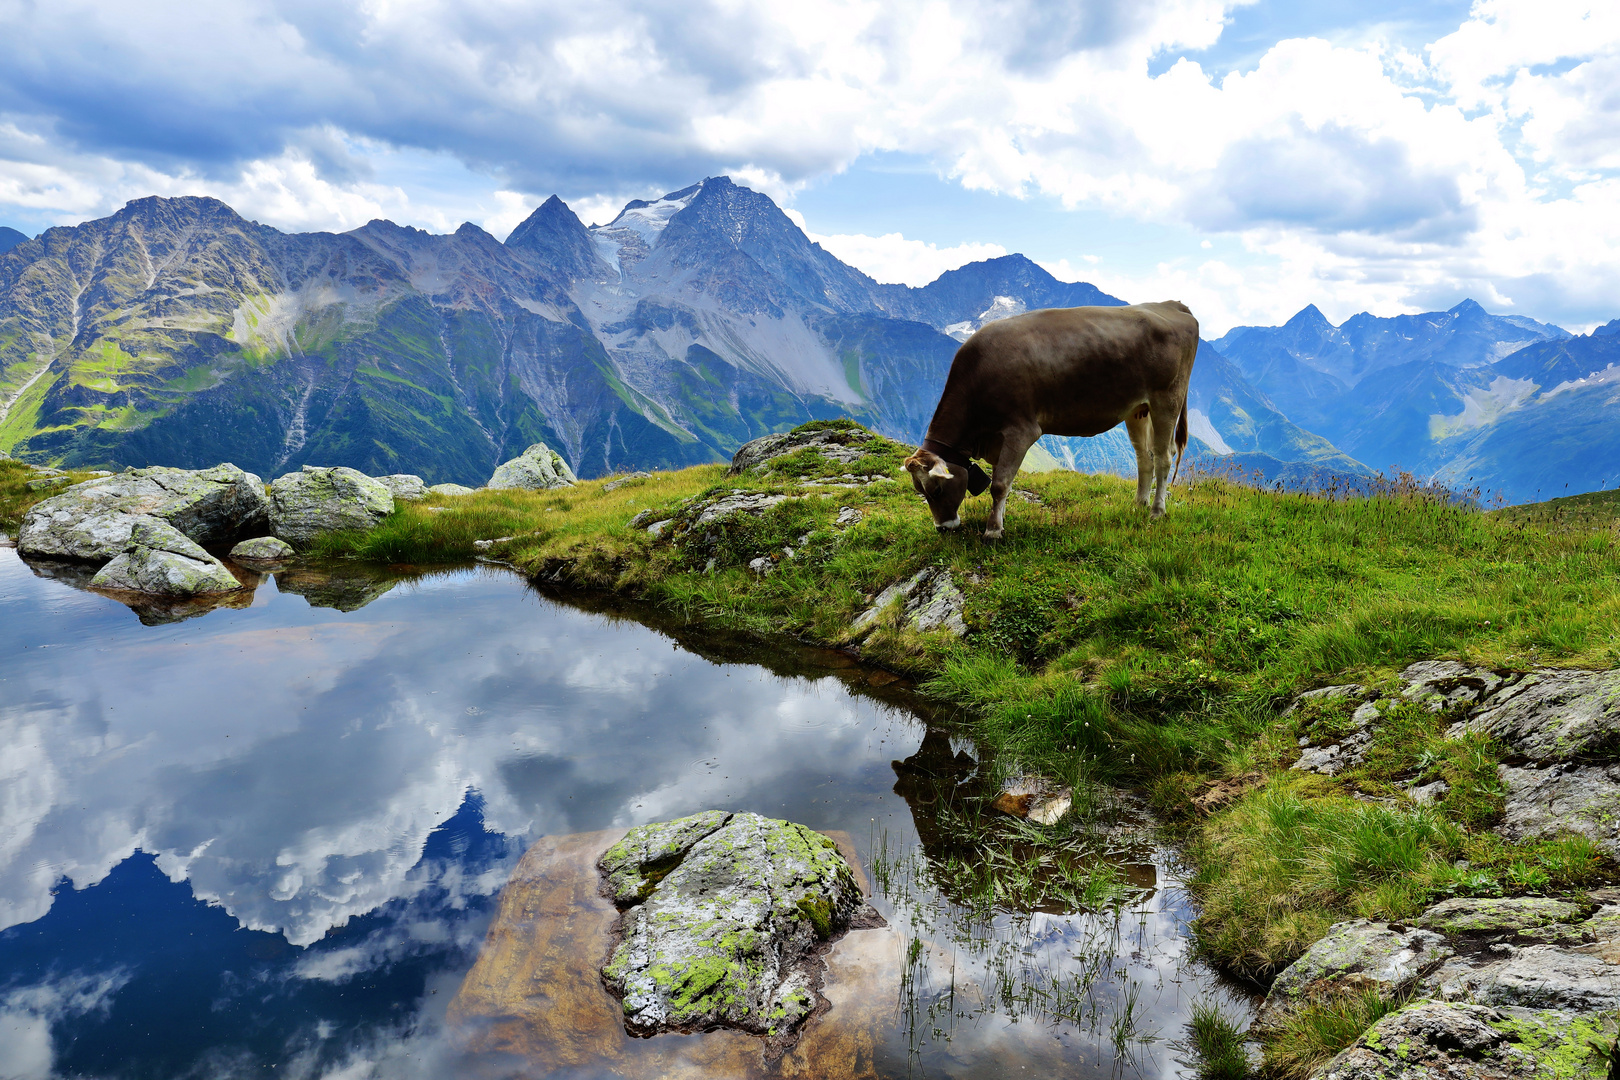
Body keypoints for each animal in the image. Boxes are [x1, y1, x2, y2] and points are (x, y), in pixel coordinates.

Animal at [907, 302, 1198, 537]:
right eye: (919, 491)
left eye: (936, 490)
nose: (942, 528)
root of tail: (1171, 304)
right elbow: (1004, 481)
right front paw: (999, 520)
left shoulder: (1021, 430)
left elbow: (1000, 484)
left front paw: (993, 530)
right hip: (1137, 409)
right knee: (1143, 458)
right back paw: (1139, 504)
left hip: (1167, 400)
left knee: (1163, 457)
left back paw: (1157, 512)